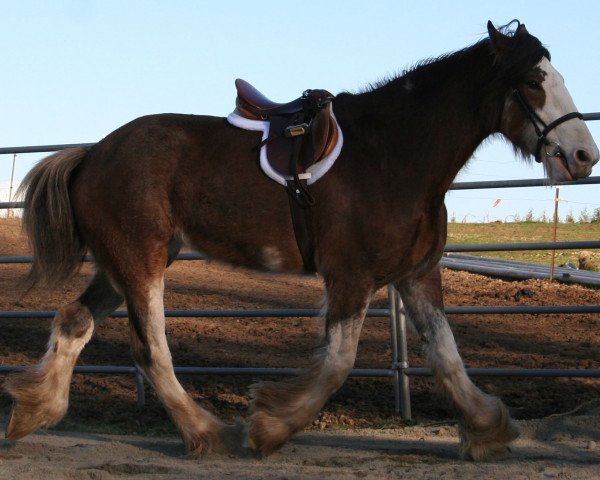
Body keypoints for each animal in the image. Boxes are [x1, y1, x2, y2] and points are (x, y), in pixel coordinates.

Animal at [3, 21, 596, 462]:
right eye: (535, 80)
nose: (583, 155)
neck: (390, 156)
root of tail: (92, 155)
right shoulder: (351, 276)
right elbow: (337, 362)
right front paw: (270, 425)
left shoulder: (416, 274)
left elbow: (447, 357)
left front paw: (488, 429)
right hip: (140, 263)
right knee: (151, 349)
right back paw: (208, 433)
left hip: (123, 265)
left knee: (73, 323)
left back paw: (34, 412)